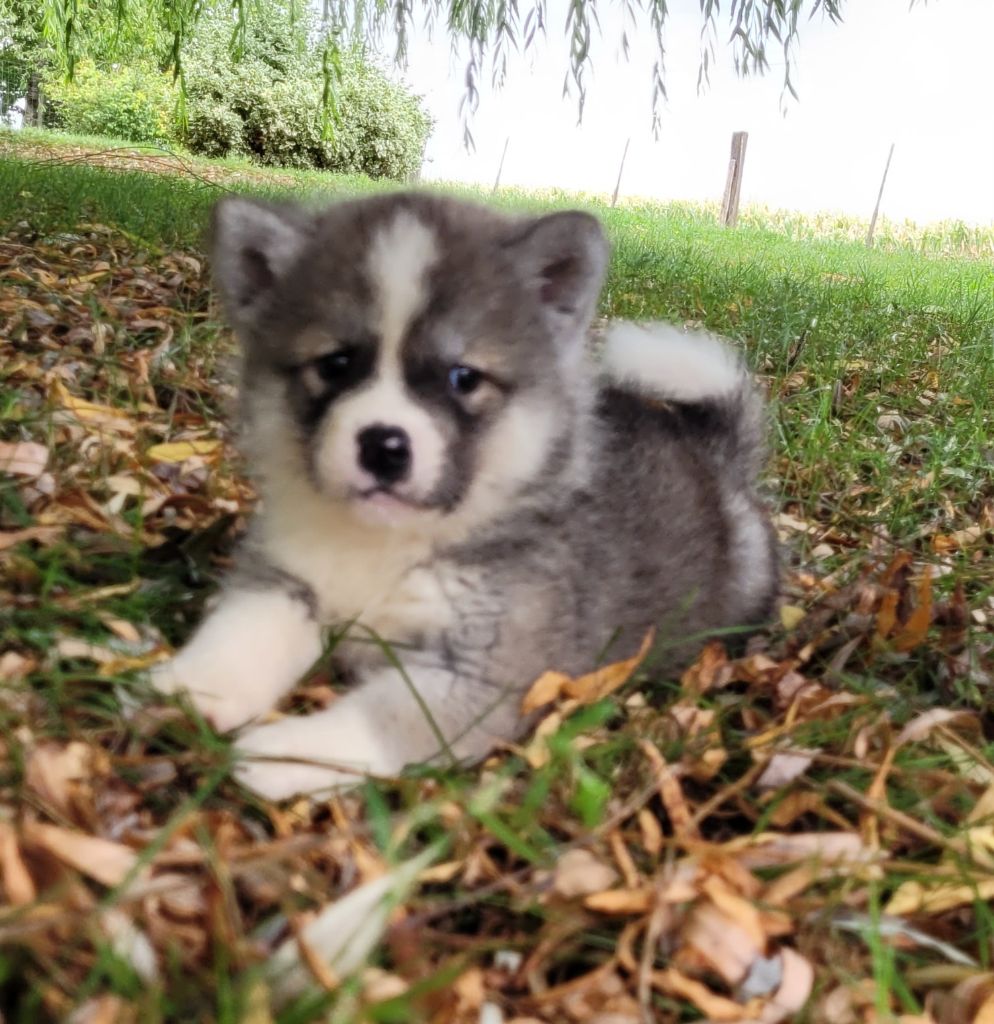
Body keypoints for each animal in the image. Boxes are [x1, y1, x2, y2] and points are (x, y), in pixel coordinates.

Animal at [150, 191, 778, 801]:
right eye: (336, 363)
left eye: (463, 378)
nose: (383, 446)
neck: (388, 547)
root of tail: (713, 450)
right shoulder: (286, 580)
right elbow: (242, 632)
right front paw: (192, 688)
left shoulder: (483, 675)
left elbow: (380, 719)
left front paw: (284, 753)